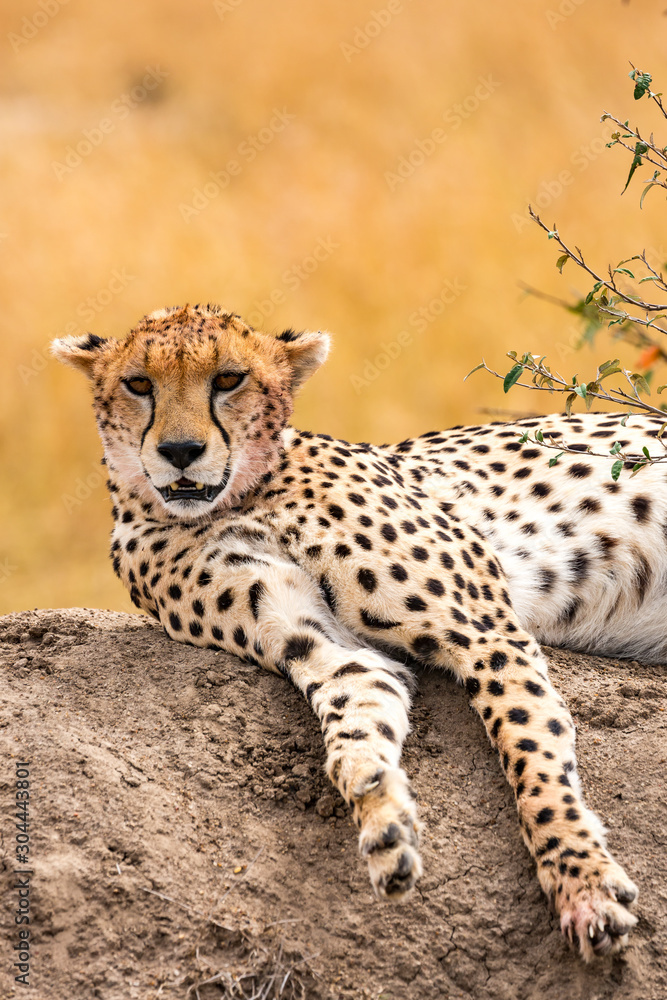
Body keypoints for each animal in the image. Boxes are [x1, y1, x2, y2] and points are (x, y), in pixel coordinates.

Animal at [52, 302, 657, 962]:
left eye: (229, 379)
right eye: (139, 384)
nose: (181, 450)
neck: (239, 498)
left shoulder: (486, 631)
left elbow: (531, 751)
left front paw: (582, 882)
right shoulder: (328, 647)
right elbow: (355, 725)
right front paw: (382, 814)